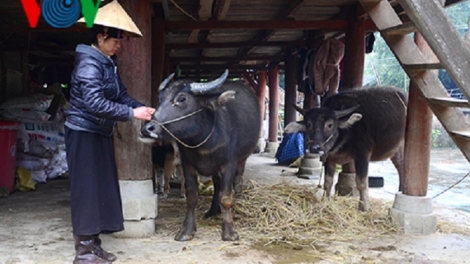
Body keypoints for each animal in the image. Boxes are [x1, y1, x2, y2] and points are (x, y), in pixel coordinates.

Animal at [140, 70, 260, 241]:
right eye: (160, 99)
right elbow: (192, 196)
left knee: (237, 181)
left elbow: (226, 197)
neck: (204, 143)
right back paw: (213, 211)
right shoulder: (187, 165)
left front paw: (229, 232)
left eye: (182, 99)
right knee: (216, 184)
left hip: (242, 160)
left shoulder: (228, 165)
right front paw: (186, 230)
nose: (147, 129)